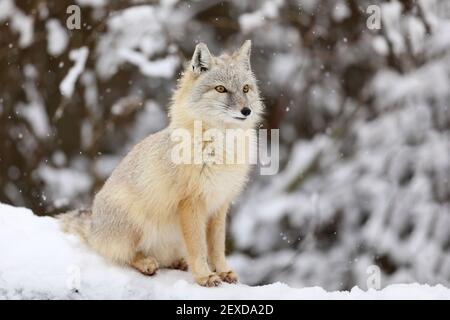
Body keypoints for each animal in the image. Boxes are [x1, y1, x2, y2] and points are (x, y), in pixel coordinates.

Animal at [59, 40, 264, 288]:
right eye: (221, 89)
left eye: (246, 89)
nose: (246, 111)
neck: (220, 149)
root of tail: (93, 227)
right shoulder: (192, 203)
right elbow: (198, 248)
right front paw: (204, 276)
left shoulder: (219, 204)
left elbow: (216, 248)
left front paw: (223, 271)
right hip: (134, 222)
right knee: (121, 255)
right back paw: (146, 262)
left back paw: (177, 262)